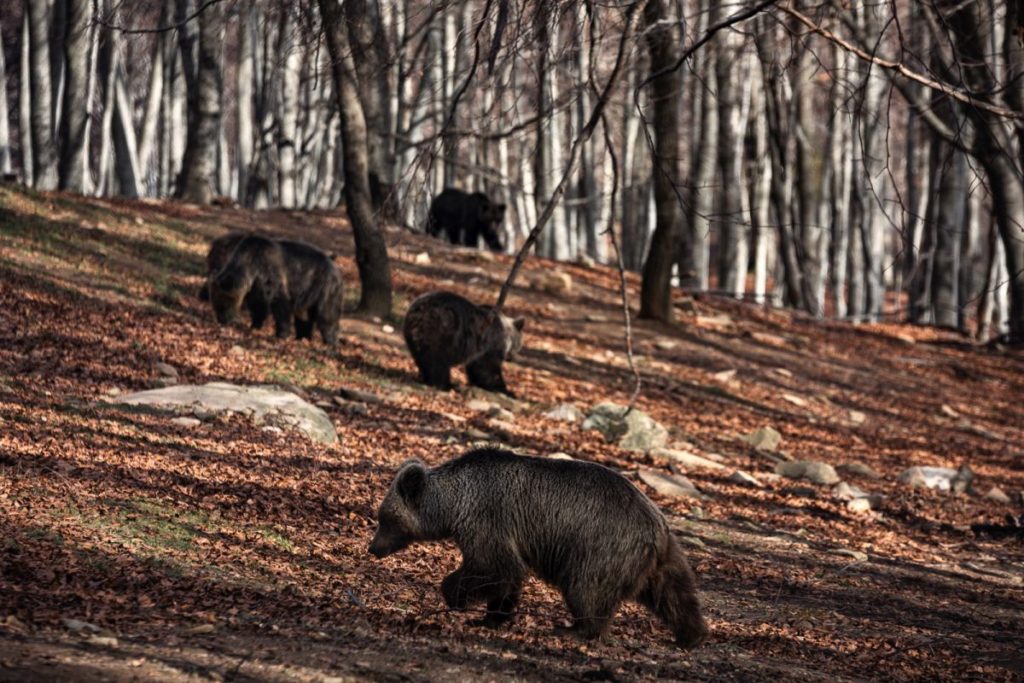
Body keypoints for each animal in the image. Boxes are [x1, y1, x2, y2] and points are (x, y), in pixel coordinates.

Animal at [206, 236, 344, 348]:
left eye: (222, 305)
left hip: (324, 286)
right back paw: (302, 337)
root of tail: (336, 267)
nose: (222, 320)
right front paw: (254, 325)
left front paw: (281, 333)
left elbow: (279, 301)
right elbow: (258, 305)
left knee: (326, 314)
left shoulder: (269, 271)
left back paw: (331, 342)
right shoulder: (256, 284)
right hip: (308, 293)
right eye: (215, 305)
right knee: (304, 315)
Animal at [368, 446, 712, 651]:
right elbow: (507, 577)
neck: (453, 505)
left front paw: (457, 598)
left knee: (587, 590)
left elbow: (494, 567)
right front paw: (492, 616)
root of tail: (656, 528)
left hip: (599, 548)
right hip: (663, 558)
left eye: (385, 517)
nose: (373, 548)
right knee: (676, 594)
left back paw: (575, 629)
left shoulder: (487, 518)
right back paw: (692, 634)